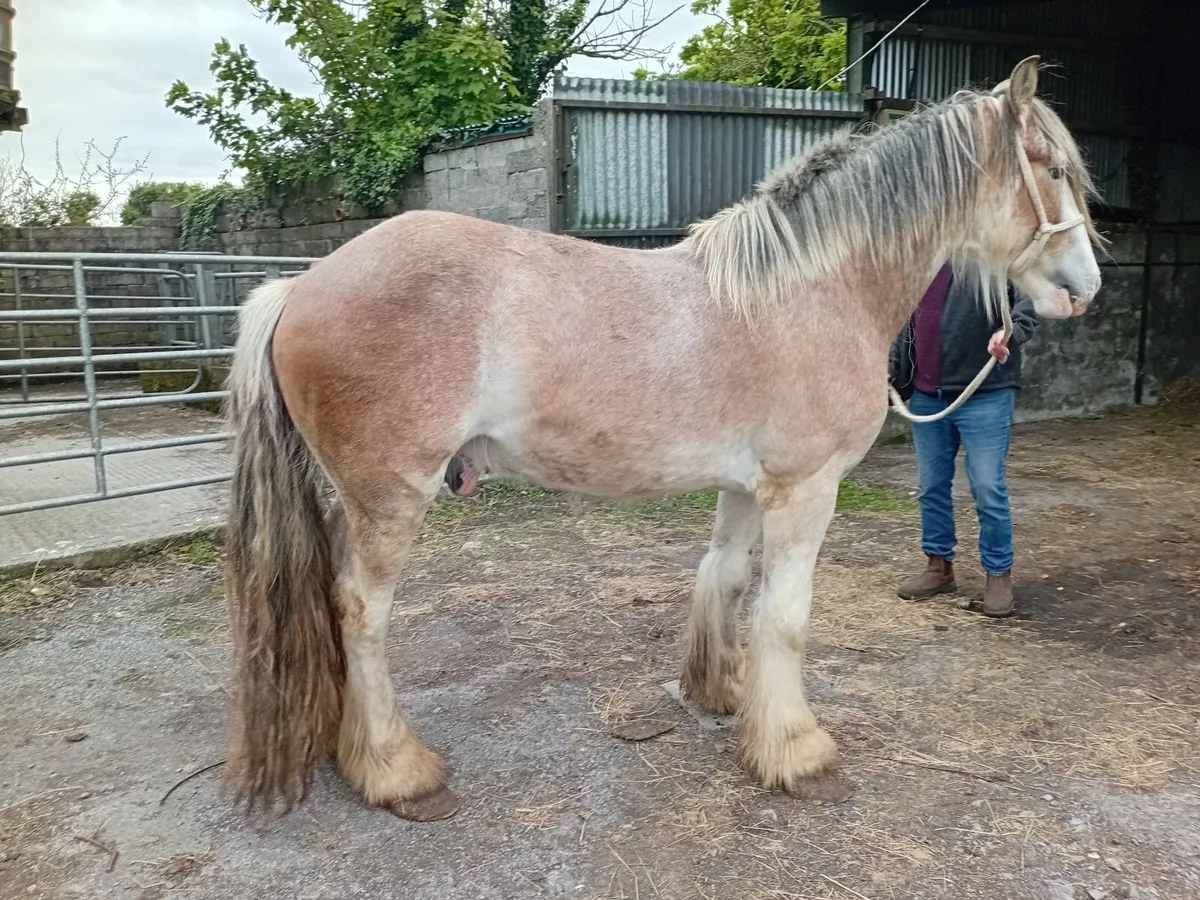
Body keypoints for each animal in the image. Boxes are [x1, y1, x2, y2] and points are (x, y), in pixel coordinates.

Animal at [223, 57, 1102, 821]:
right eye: (1052, 169)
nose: (1086, 289)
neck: (811, 290)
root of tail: (300, 287)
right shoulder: (805, 488)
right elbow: (785, 615)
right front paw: (796, 750)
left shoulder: (747, 487)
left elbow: (725, 579)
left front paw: (725, 696)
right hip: (390, 498)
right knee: (361, 613)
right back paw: (396, 771)